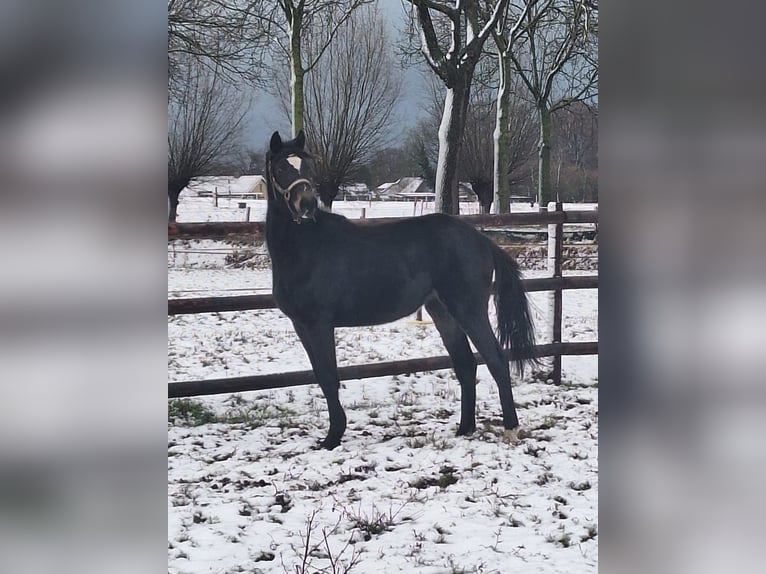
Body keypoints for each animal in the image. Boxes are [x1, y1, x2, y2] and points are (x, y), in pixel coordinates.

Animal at [265, 130, 537, 449]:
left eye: (306, 166)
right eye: (281, 167)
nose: (307, 204)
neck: (305, 248)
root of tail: (483, 241)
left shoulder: (319, 324)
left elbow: (329, 377)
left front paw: (333, 437)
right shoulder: (301, 325)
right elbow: (320, 375)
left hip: (469, 309)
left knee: (495, 359)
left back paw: (510, 429)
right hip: (443, 312)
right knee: (466, 364)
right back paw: (464, 428)